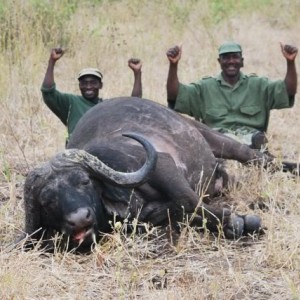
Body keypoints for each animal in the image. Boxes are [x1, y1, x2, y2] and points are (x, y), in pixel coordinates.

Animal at [18, 97, 264, 252]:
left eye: (84, 181)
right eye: (47, 202)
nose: (79, 219)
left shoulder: (162, 164)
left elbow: (187, 200)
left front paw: (238, 220)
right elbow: (178, 211)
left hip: (209, 135)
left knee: (246, 153)